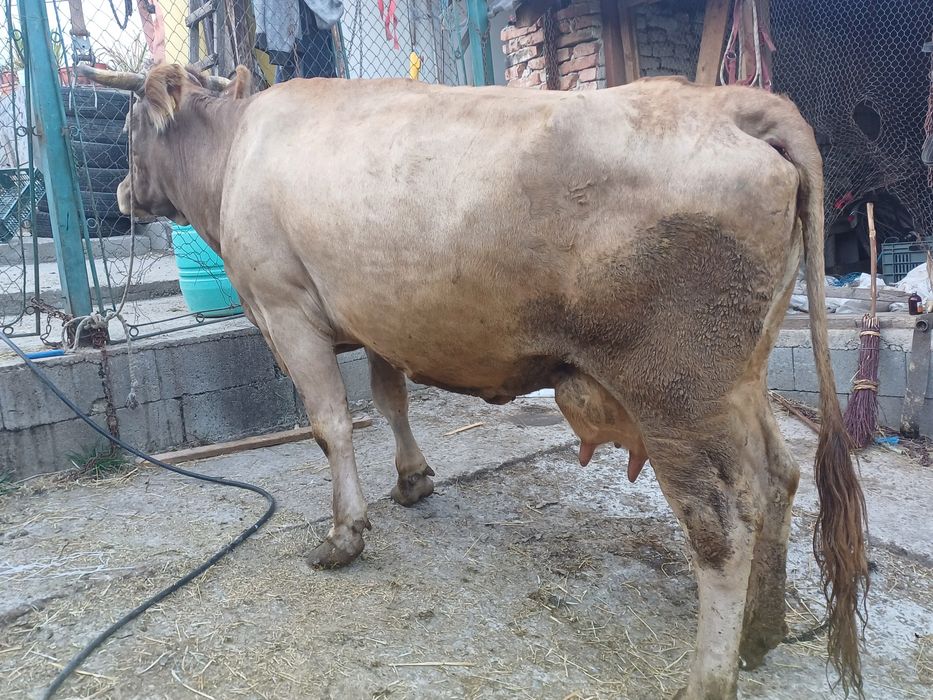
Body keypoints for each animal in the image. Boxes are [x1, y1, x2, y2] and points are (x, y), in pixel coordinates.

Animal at [78, 62, 868, 699]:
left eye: (128, 126)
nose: (118, 191)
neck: (235, 150)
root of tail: (731, 102)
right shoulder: (381, 318)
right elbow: (390, 401)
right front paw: (412, 479)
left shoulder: (286, 309)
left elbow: (331, 425)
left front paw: (344, 534)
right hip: (741, 378)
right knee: (778, 476)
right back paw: (761, 633)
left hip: (676, 389)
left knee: (722, 520)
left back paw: (708, 677)